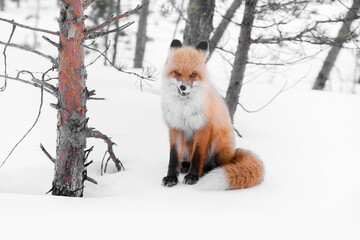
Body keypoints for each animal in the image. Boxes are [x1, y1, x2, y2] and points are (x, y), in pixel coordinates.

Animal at [162, 39, 262, 189]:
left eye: (193, 74)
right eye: (177, 73)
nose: (183, 87)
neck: (184, 108)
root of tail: (233, 153)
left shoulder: (203, 127)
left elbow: (198, 156)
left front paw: (192, 177)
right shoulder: (175, 128)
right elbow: (173, 157)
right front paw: (171, 178)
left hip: (218, 139)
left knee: (217, 164)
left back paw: (204, 170)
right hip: (187, 144)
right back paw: (185, 166)